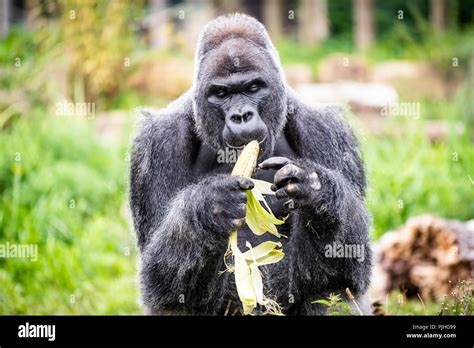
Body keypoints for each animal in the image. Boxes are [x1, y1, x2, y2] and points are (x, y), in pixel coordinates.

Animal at [129, 12, 370, 316]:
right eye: (221, 93)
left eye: (253, 87)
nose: (241, 115)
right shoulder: (158, 143)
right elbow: (160, 282)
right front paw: (211, 206)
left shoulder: (328, 131)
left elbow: (348, 267)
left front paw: (315, 190)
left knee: (332, 291)